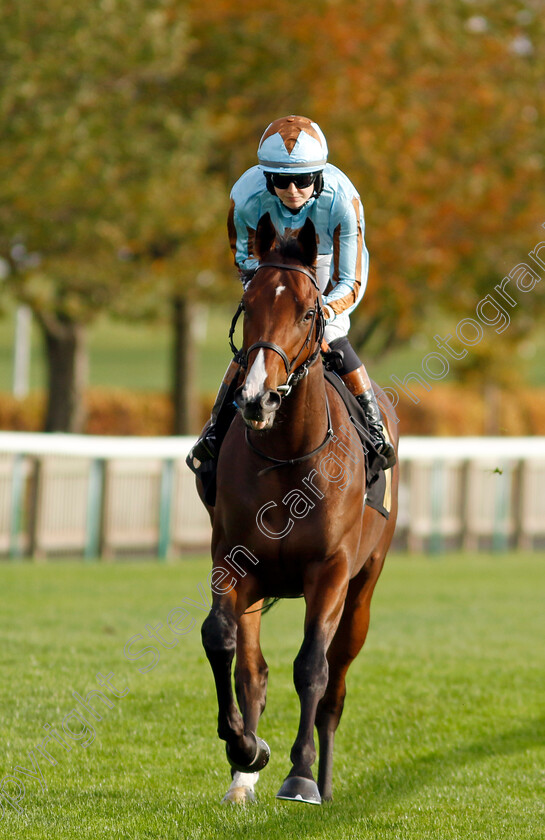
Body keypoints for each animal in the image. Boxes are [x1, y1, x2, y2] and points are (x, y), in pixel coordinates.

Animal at [198, 213, 398, 804]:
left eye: (309, 311)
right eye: (248, 304)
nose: (256, 398)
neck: (288, 456)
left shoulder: (329, 569)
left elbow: (311, 666)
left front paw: (302, 774)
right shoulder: (232, 562)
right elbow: (221, 642)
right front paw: (246, 751)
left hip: (364, 586)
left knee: (335, 681)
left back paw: (324, 783)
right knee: (253, 672)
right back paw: (243, 779)